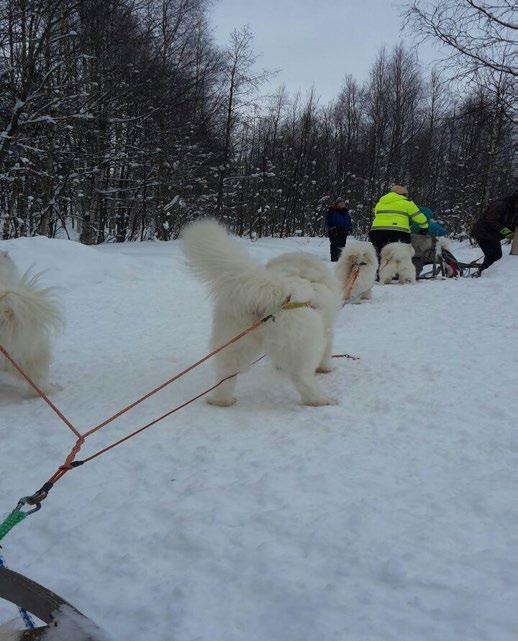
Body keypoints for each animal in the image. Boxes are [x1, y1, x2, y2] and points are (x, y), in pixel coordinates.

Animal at [183, 220, 346, 408]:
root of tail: (275, 292)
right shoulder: (328, 330)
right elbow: (327, 351)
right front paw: (325, 368)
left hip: (233, 344)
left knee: (225, 376)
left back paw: (221, 400)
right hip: (304, 347)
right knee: (303, 380)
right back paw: (320, 400)